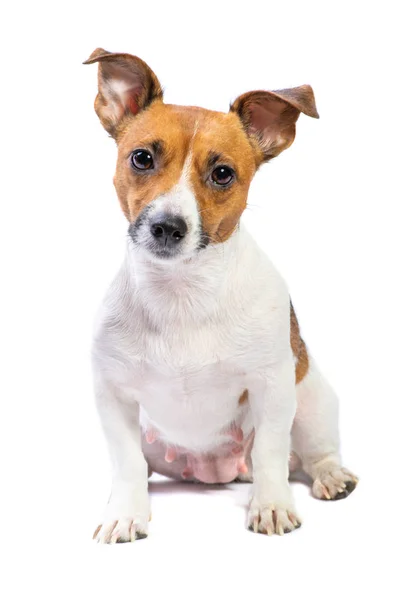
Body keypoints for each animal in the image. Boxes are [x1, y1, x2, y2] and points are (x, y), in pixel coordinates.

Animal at [85, 48, 360, 544]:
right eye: (141, 158)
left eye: (223, 174)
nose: (167, 226)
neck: (182, 292)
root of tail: (213, 471)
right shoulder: (112, 393)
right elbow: (126, 462)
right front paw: (126, 513)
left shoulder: (272, 387)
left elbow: (270, 452)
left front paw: (271, 506)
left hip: (311, 399)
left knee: (310, 453)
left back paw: (330, 476)